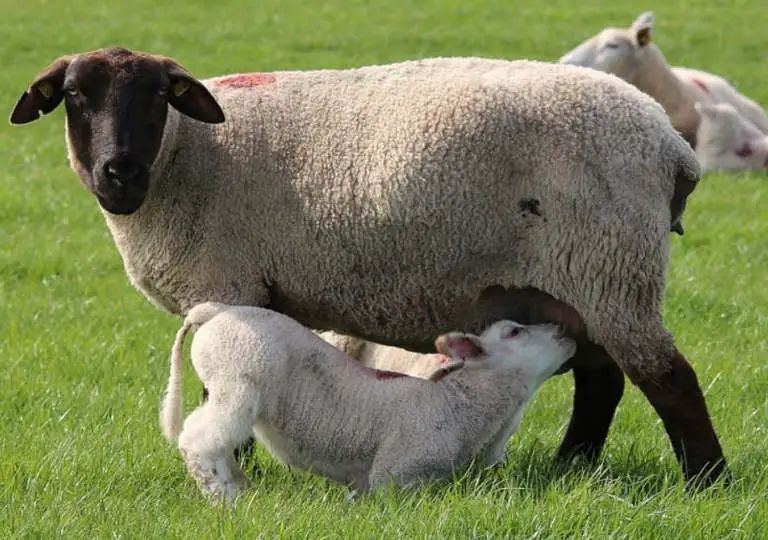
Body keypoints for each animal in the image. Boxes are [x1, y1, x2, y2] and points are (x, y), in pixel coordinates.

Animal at [159, 302, 576, 504]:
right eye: (514, 331)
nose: (565, 331)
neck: (458, 406)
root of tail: (212, 311)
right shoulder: (397, 473)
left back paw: (238, 487)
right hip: (237, 379)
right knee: (199, 439)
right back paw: (224, 497)